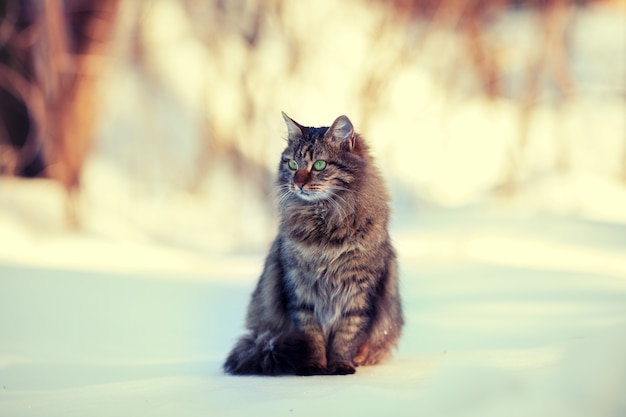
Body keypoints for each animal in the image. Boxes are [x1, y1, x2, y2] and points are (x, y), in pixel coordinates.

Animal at [222, 113, 402, 374]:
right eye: (292, 165)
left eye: (319, 165)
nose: (297, 183)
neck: (324, 226)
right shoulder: (300, 289)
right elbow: (311, 337)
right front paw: (313, 366)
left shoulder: (359, 291)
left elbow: (346, 335)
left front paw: (340, 365)